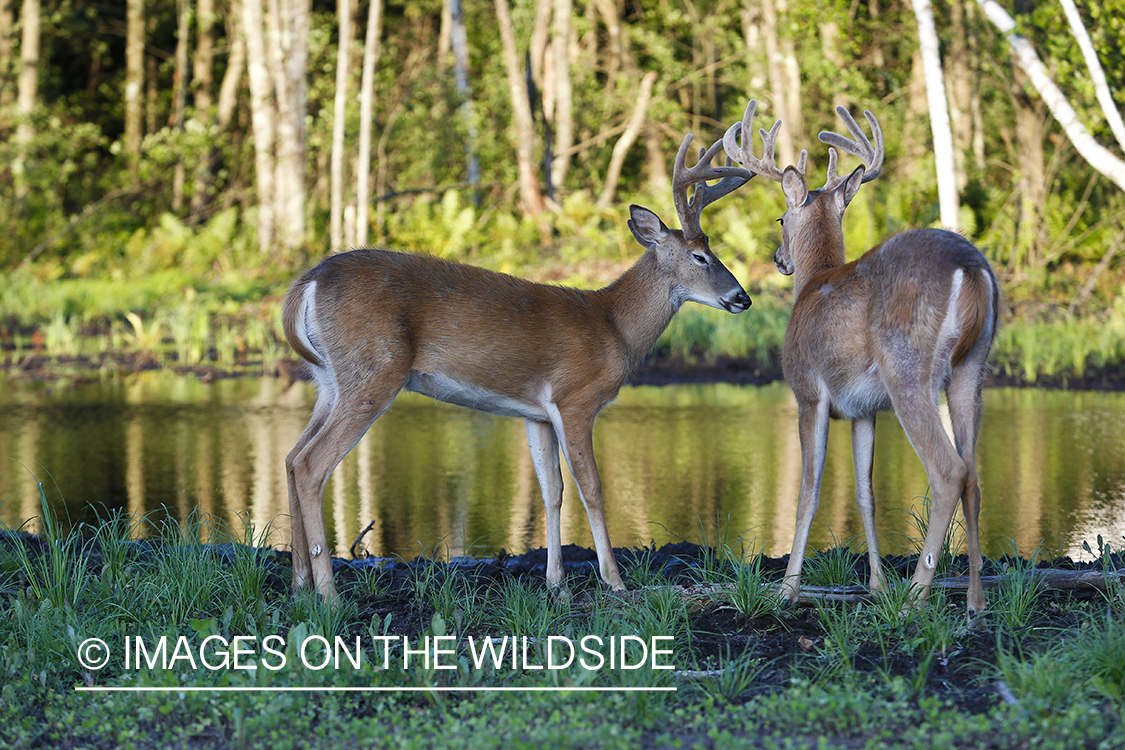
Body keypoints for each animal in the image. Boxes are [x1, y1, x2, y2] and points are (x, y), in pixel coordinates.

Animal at [281, 132, 756, 602]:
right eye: (699, 256)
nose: (743, 298)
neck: (614, 327)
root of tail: (307, 282)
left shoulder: (536, 414)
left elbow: (553, 491)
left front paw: (556, 584)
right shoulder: (575, 397)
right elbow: (592, 488)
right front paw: (614, 581)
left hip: (329, 379)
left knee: (290, 456)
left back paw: (300, 582)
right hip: (375, 371)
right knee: (310, 464)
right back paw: (328, 593)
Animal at [724, 101, 999, 616]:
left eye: (780, 220)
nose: (778, 259)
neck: (813, 282)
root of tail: (970, 269)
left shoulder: (808, 392)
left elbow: (808, 491)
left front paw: (787, 589)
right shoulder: (863, 410)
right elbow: (865, 491)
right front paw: (876, 585)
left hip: (907, 367)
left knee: (949, 471)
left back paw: (915, 597)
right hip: (972, 369)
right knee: (974, 474)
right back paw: (974, 603)